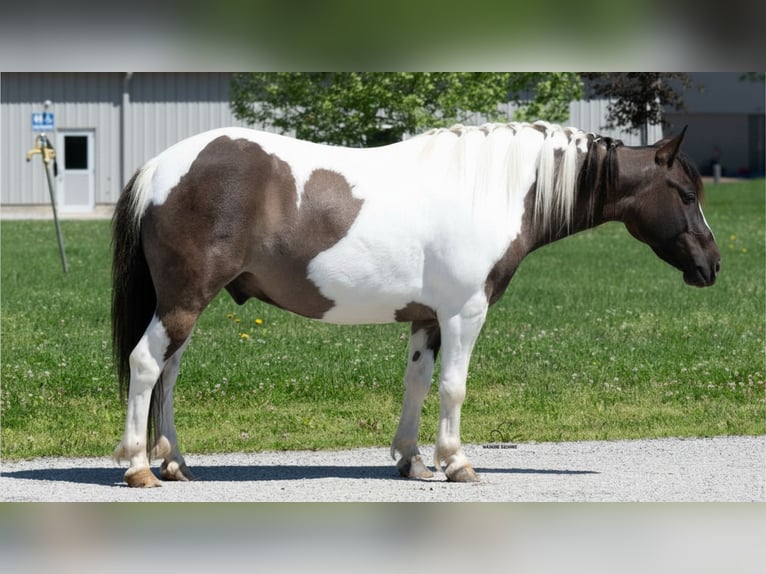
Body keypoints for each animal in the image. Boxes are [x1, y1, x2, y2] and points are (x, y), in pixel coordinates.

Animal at [111, 121, 721, 487]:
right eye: (686, 195)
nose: (712, 265)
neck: (490, 191)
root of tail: (160, 166)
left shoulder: (428, 319)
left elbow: (418, 382)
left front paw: (413, 459)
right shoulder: (465, 313)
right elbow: (453, 387)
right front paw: (457, 462)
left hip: (186, 304)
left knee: (168, 374)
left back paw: (175, 462)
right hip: (184, 299)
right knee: (145, 365)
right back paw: (140, 467)